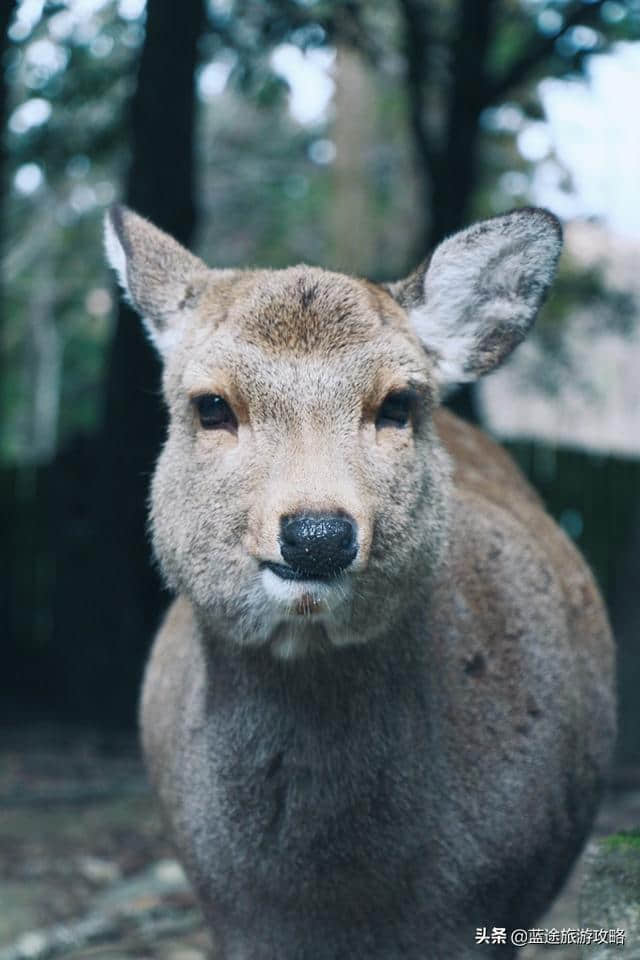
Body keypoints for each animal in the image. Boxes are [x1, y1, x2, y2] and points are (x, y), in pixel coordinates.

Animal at [105, 204, 616, 960]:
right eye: (211, 406)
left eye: (398, 403)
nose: (318, 534)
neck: (338, 901)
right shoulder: (231, 917)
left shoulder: (489, 913)